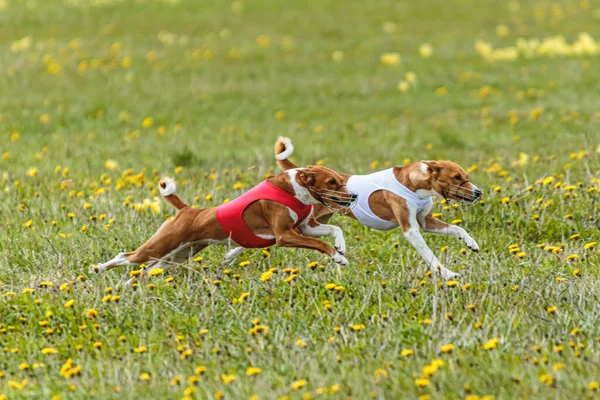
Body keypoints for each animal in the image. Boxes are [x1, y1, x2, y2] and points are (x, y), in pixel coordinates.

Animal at [89, 164, 356, 282]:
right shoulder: (284, 235)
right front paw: (338, 258)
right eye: (332, 182)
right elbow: (319, 244)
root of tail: (187, 210)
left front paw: (341, 247)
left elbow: (335, 228)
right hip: (160, 247)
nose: (353, 196)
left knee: (145, 271)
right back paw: (98, 269)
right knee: (126, 256)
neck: (293, 189)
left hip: (176, 256)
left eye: (339, 180)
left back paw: (129, 285)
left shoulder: (306, 227)